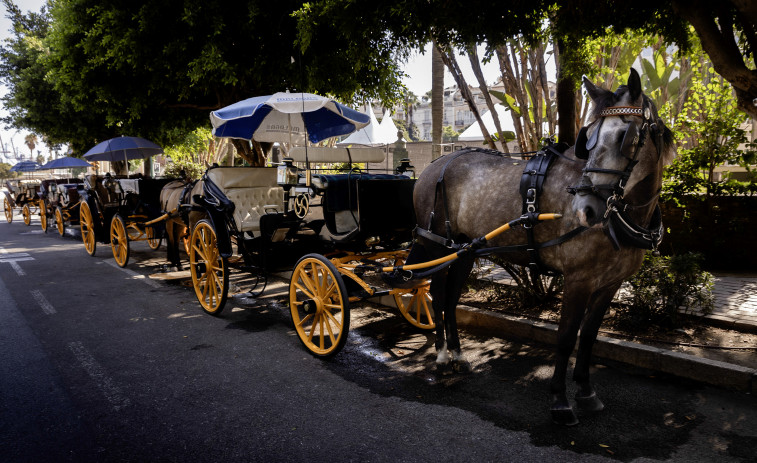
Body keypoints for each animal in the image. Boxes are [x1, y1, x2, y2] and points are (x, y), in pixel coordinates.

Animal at [410, 69, 676, 424]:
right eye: (589, 138)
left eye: (627, 136)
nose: (586, 208)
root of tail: (437, 161)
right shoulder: (578, 279)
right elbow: (565, 338)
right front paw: (560, 401)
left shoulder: (610, 283)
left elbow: (588, 337)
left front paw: (586, 392)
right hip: (439, 246)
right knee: (438, 295)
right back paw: (441, 356)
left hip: (465, 249)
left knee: (451, 298)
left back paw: (457, 354)